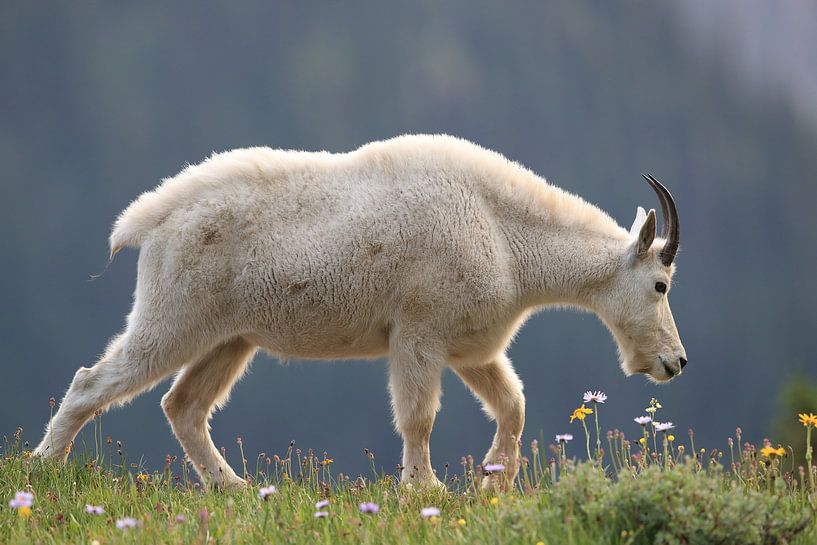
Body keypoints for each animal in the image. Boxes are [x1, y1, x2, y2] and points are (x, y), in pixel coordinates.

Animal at [34, 134, 686, 490]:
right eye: (659, 284)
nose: (675, 363)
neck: (506, 235)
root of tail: (148, 221)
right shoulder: (419, 331)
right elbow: (419, 417)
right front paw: (425, 489)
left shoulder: (470, 345)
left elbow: (513, 404)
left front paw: (493, 476)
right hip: (176, 314)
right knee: (96, 380)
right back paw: (41, 469)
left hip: (230, 337)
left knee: (184, 405)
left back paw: (235, 487)